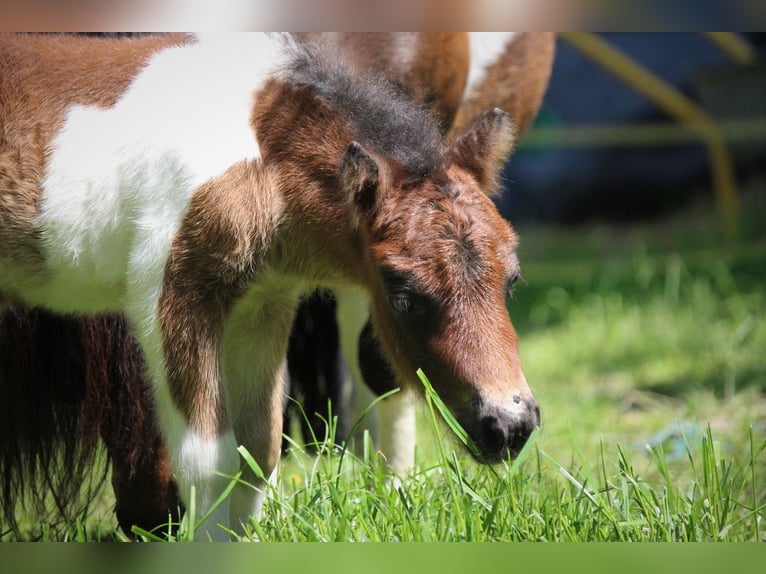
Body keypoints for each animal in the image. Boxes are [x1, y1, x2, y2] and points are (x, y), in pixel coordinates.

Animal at [0, 35, 540, 540]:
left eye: (511, 281)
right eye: (403, 297)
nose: (510, 425)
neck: (262, 166)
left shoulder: (261, 304)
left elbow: (258, 451)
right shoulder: (169, 295)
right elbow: (208, 461)